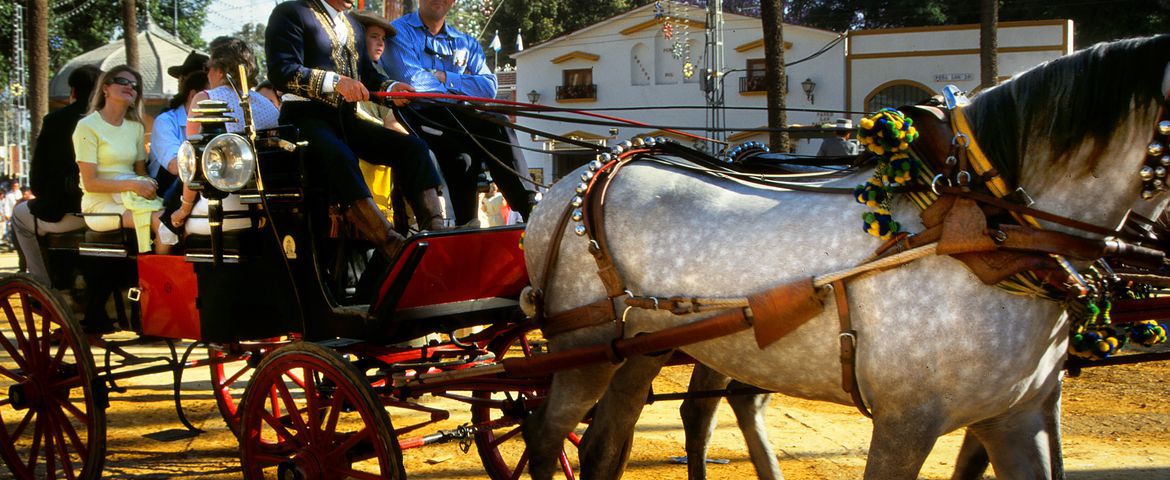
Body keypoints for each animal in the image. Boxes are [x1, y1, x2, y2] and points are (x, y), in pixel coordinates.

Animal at [526, 34, 1170, 479]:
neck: (981, 230)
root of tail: (575, 179)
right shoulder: (906, 422)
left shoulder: (1021, 416)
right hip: (581, 347)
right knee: (545, 439)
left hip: (642, 350)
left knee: (606, 444)